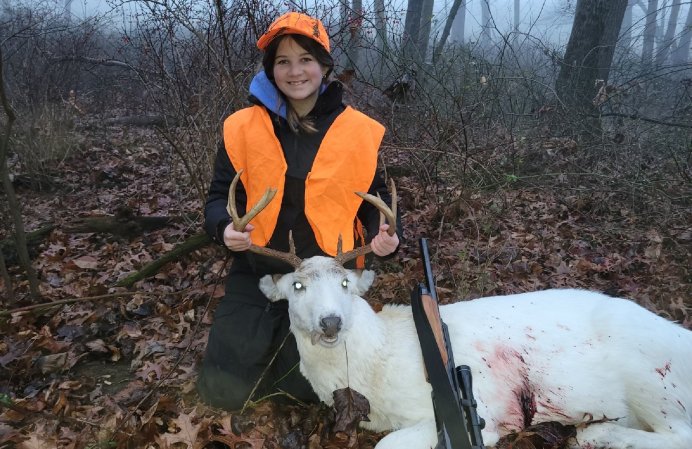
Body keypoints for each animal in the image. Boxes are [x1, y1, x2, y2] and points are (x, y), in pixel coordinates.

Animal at [227, 173, 692, 446]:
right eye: (297, 286)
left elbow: (390, 443)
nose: (330, 321)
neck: (375, 366)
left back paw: (594, 431)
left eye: (345, 285)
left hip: (654, 380)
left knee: (677, 435)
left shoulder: (475, 411)